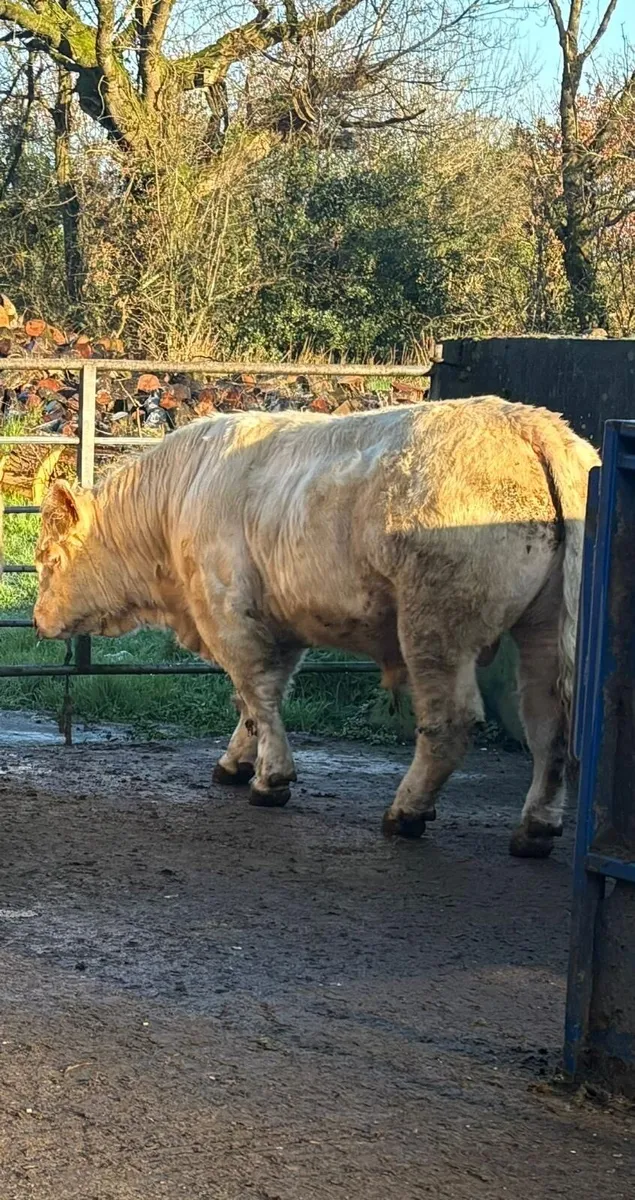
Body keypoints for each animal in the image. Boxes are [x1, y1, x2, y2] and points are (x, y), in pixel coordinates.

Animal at [33, 396, 599, 857]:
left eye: (49, 560)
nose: (37, 620)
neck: (180, 497)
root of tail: (530, 422)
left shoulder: (229, 613)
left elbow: (256, 691)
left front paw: (271, 779)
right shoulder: (278, 622)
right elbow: (255, 699)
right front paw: (237, 762)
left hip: (436, 624)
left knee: (451, 721)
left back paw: (406, 812)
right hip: (546, 628)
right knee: (549, 721)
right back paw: (535, 828)